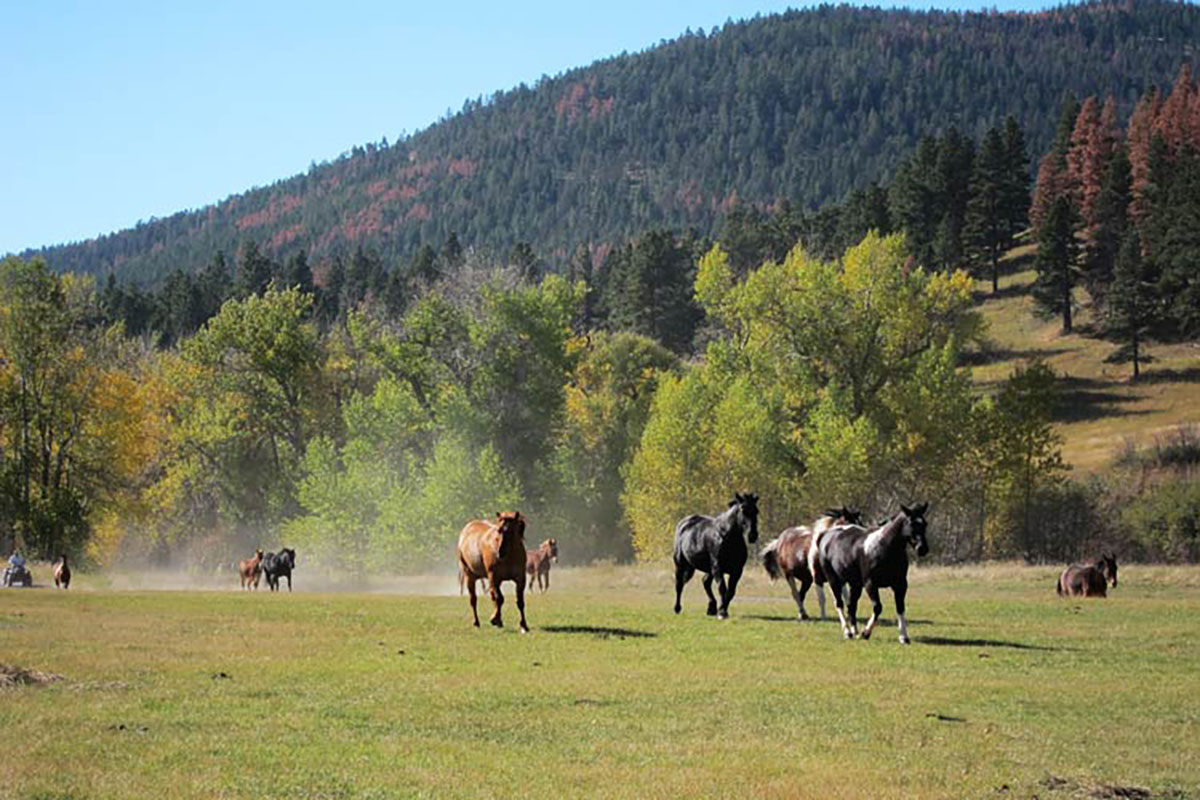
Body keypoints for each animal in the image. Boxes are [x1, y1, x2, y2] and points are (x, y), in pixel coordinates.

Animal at [816, 503, 926, 647]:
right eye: (911, 523)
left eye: (925, 524)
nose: (922, 548)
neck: (883, 547)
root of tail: (827, 535)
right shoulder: (870, 584)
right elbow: (878, 607)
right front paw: (866, 633)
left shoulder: (900, 585)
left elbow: (900, 608)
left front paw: (904, 637)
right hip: (834, 580)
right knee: (839, 603)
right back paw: (848, 632)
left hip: (855, 584)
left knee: (851, 606)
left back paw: (855, 632)